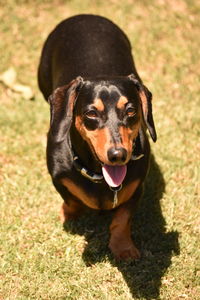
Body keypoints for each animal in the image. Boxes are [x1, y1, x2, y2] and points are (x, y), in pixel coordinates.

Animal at [37, 14, 156, 258]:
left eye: (131, 110)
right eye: (91, 113)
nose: (118, 155)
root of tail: (85, 16)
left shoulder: (137, 187)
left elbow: (122, 218)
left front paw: (123, 247)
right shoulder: (58, 178)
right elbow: (72, 199)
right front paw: (68, 214)